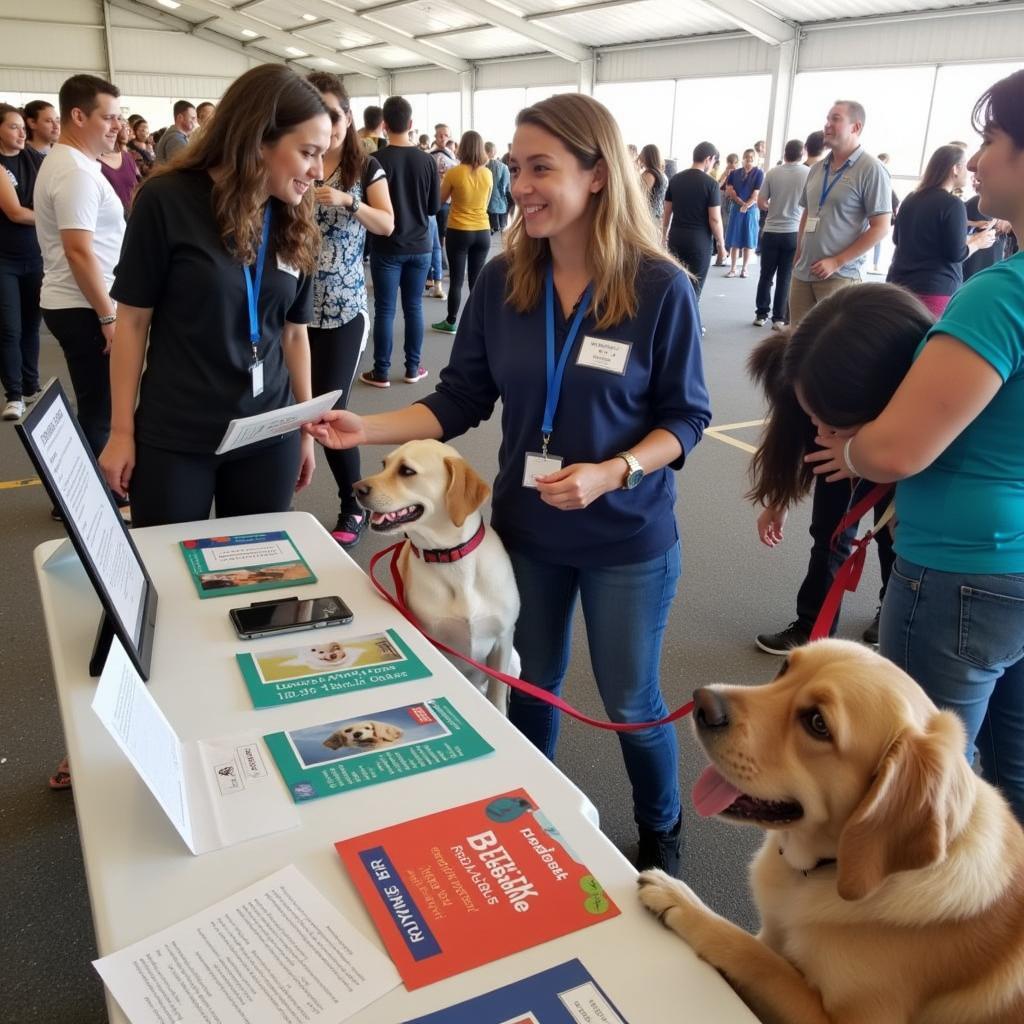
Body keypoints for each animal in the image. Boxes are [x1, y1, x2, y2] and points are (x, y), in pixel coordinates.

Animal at [358, 440, 520, 712]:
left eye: (407, 471)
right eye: (384, 464)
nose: (356, 489)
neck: (451, 558)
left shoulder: (503, 639)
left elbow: (497, 698)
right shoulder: (435, 642)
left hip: (515, 662)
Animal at [634, 638, 1024, 1024]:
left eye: (818, 723)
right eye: (785, 668)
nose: (701, 701)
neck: (819, 870)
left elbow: (758, 958)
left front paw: (682, 900)